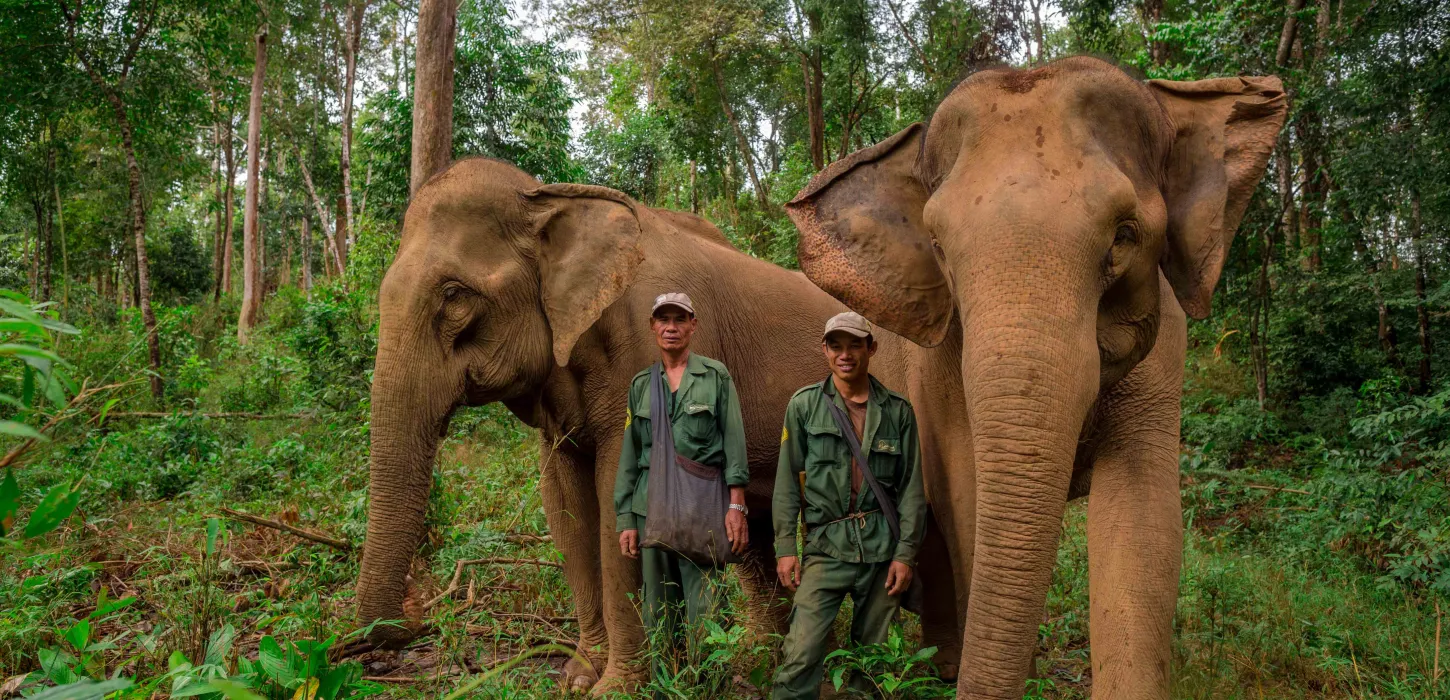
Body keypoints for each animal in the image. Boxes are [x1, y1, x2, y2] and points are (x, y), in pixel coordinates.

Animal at [353, 156, 973, 691]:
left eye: (453, 295)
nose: (403, 627)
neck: (551, 197)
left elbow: (617, 500)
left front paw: (617, 688)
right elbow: (566, 508)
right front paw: (580, 677)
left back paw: (929, 670)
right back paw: (758, 662)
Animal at [785, 57, 1287, 699]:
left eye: (1124, 235)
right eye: (938, 246)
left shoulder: (1165, 347)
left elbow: (1143, 523)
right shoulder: (938, 362)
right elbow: (966, 498)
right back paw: (944, 663)